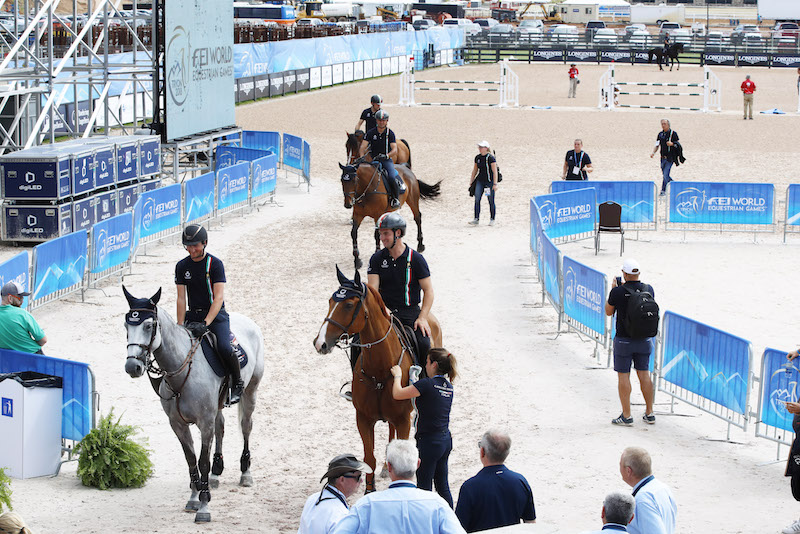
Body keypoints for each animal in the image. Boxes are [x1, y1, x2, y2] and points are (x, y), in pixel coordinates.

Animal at [122, 286, 266, 524]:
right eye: (126, 325)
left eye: (148, 325)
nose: (132, 367)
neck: (181, 373)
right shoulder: (178, 424)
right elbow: (191, 460)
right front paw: (193, 498)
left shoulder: (204, 423)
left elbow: (202, 461)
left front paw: (204, 506)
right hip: (218, 405)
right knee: (221, 427)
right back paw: (216, 473)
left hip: (250, 391)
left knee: (246, 426)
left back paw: (245, 473)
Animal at [312, 268, 444, 494]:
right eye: (330, 301)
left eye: (348, 305)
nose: (320, 343)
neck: (381, 371)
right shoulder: (363, 419)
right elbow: (369, 458)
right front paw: (369, 490)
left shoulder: (403, 420)